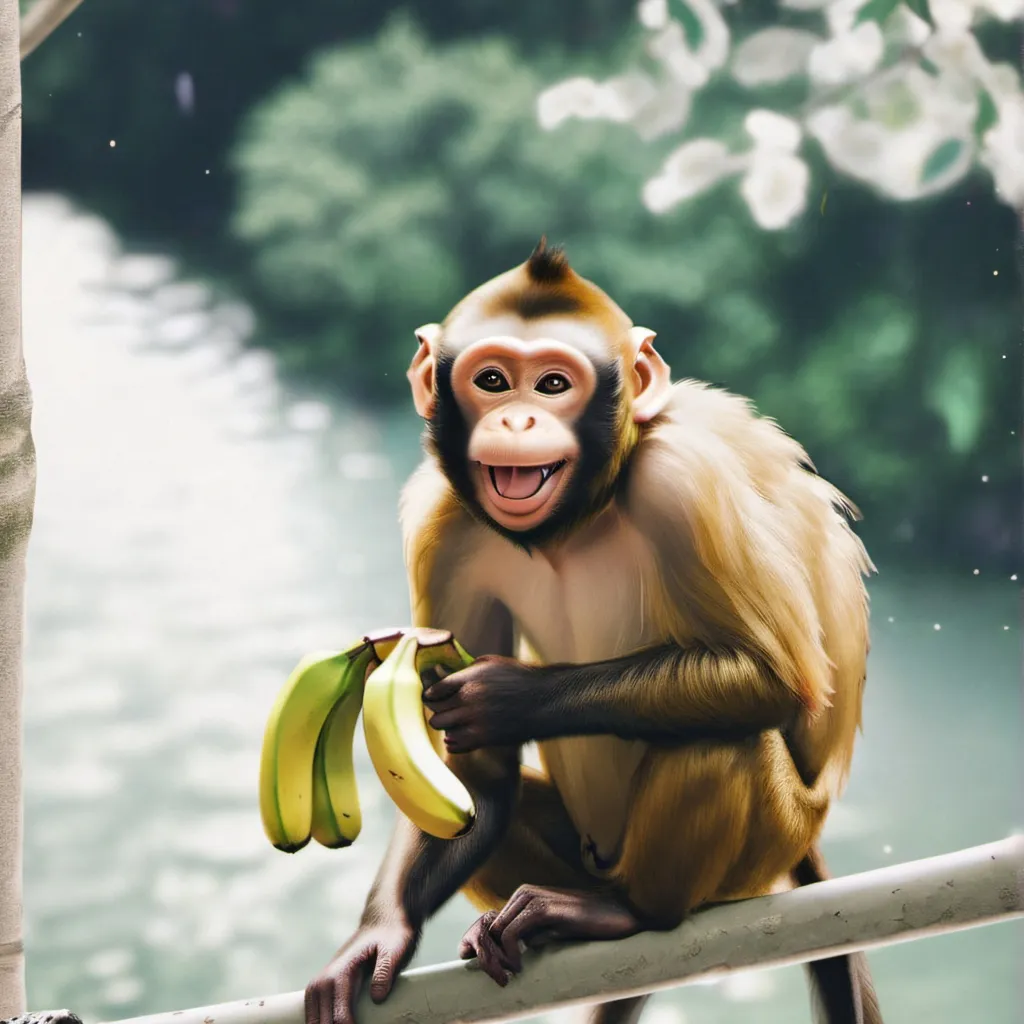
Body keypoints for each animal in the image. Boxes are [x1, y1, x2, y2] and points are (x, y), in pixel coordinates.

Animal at [304, 239, 883, 1024]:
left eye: (553, 384)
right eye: (492, 381)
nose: (516, 421)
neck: (574, 521)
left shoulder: (684, 481)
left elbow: (775, 678)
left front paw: (507, 696)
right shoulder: (445, 525)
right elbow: (476, 779)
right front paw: (381, 931)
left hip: (766, 844)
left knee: (721, 738)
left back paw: (631, 912)